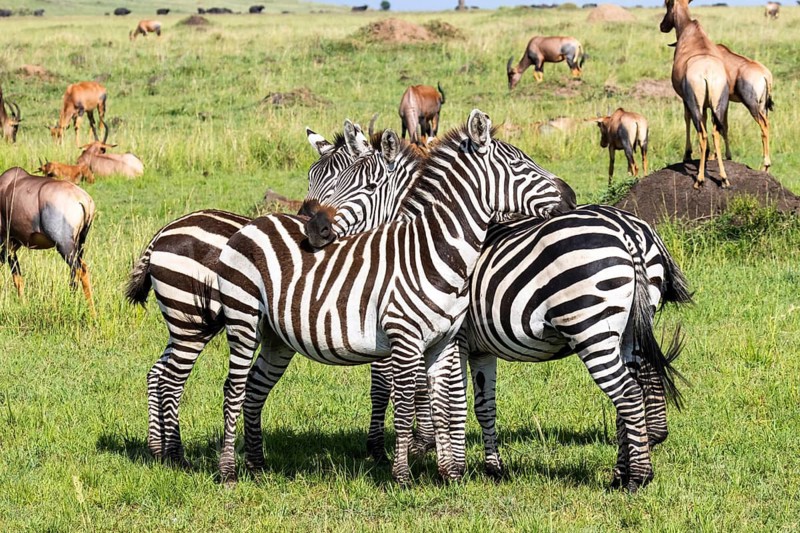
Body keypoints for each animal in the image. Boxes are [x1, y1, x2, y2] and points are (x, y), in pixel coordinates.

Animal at [124, 124, 374, 465]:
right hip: (190, 320)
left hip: (186, 323)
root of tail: (162, 233)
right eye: (312, 177)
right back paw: (175, 455)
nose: (310, 226)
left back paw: (157, 449)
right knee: (171, 380)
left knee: (156, 374)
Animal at [213, 109, 573, 485]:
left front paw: (437, 463)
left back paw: (252, 465)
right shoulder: (409, 337)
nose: (570, 195)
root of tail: (254, 224)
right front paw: (404, 462)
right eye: (520, 164)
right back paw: (232, 470)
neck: (429, 248)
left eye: (365, 186)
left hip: (272, 334)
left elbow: (439, 399)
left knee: (251, 388)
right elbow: (407, 397)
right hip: (247, 321)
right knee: (235, 389)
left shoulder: (444, 339)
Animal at [308, 132, 690, 492]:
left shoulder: (448, 336)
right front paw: (487, 466)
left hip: (591, 326)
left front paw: (418, 450)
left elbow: (415, 390)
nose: (313, 228)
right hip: (630, 327)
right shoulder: (476, 346)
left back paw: (636, 476)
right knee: (638, 385)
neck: (422, 244)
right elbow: (481, 404)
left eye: (362, 186)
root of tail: (629, 231)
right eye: (313, 180)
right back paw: (626, 468)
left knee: (629, 392)